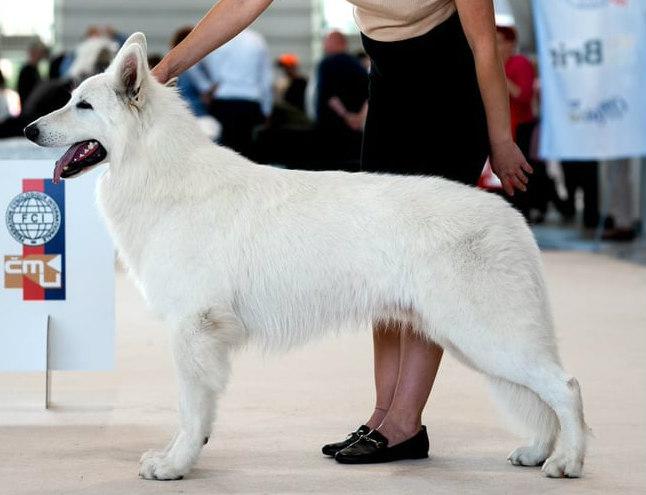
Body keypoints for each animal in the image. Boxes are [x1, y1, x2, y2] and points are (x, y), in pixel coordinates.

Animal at [26, 34, 592, 480]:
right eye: (70, 99)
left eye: (83, 106)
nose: (29, 130)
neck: (161, 171)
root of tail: (509, 215)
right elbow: (197, 412)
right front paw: (181, 457)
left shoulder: (192, 330)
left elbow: (190, 409)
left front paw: (175, 465)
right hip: (472, 341)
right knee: (542, 396)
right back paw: (537, 451)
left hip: (486, 336)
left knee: (565, 387)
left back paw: (567, 462)